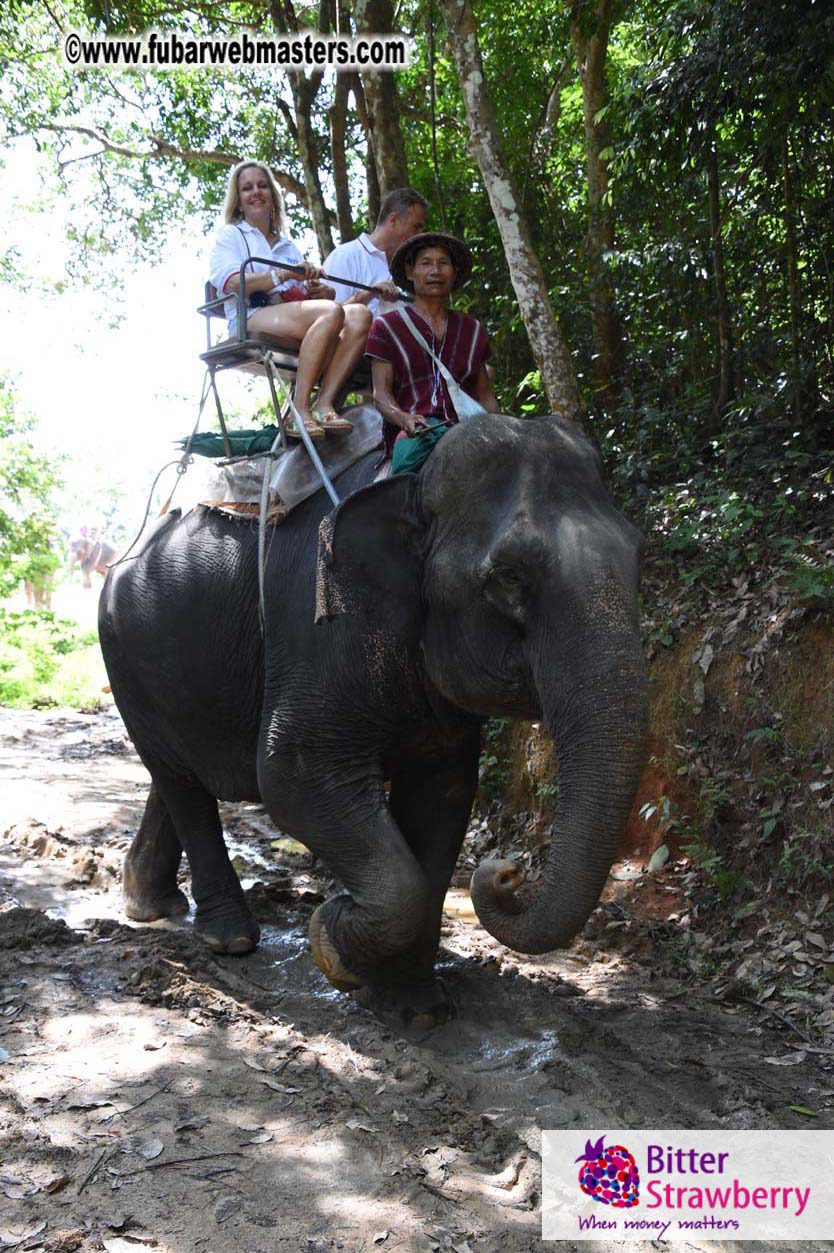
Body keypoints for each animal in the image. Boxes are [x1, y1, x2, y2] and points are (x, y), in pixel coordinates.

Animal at [98, 413, 648, 1024]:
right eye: (509, 577)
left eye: (638, 557)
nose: (505, 873)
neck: (413, 480)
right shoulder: (322, 625)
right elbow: (291, 777)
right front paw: (333, 942)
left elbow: (442, 796)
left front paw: (415, 1008)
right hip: (126, 656)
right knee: (180, 780)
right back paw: (229, 938)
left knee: (173, 773)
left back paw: (148, 902)